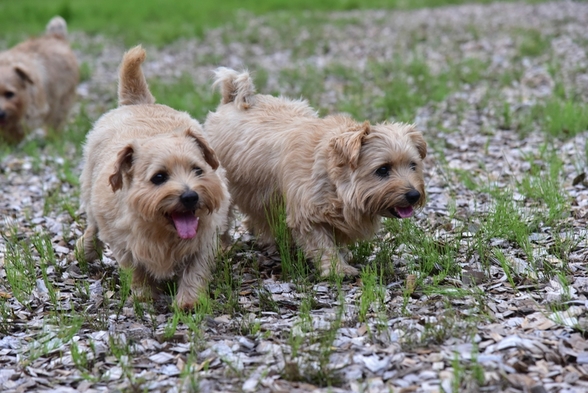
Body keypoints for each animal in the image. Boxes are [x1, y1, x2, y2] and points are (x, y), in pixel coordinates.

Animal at [0, 16, 79, 144]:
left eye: (10, 94)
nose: (1, 114)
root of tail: (56, 37)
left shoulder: (36, 111)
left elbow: (20, 128)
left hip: (61, 101)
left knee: (56, 120)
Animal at [79, 46, 231, 310]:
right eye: (159, 177)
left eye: (198, 170)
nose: (190, 196)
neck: (162, 232)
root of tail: (139, 101)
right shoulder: (123, 245)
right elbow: (136, 270)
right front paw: (145, 296)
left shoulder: (204, 240)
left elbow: (195, 270)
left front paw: (189, 302)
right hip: (90, 196)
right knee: (92, 227)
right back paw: (84, 251)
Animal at [204, 67, 424, 276]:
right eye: (383, 169)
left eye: (413, 165)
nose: (414, 195)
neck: (334, 181)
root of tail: (232, 99)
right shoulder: (307, 214)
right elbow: (323, 245)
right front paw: (338, 269)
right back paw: (224, 247)